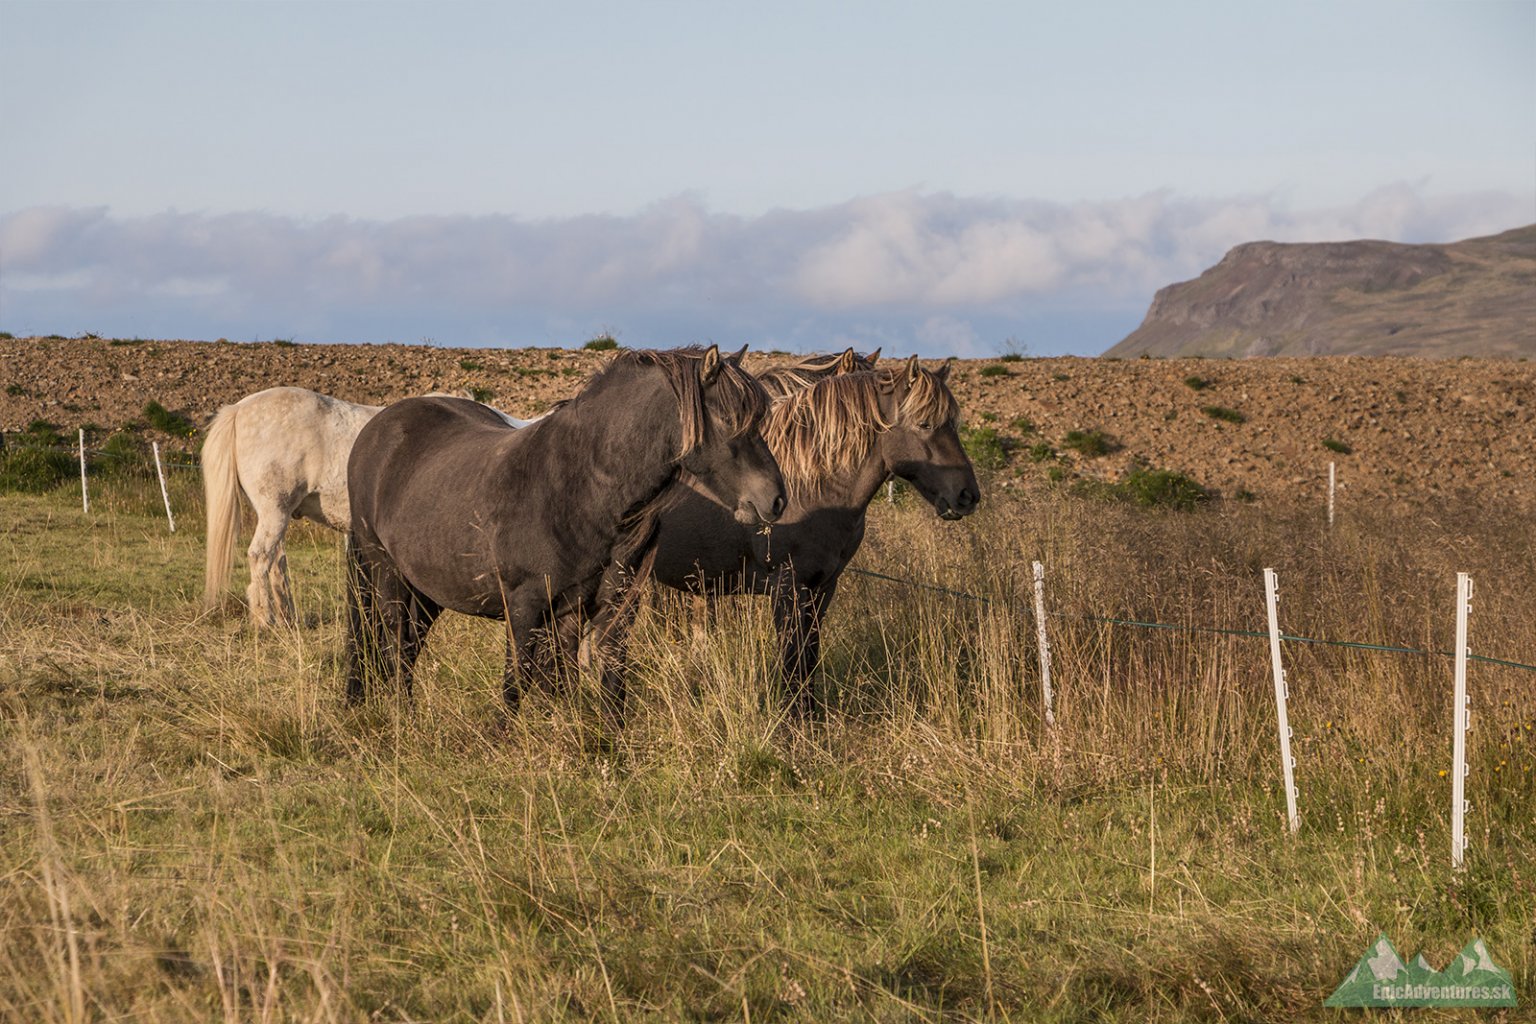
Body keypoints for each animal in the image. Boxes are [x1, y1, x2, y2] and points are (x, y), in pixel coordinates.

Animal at [199, 383, 534, 626]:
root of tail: (239, 409)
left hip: (275, 515)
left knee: (276, 562)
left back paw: (286, 619)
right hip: (274, 511)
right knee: (261, 557)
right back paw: (264, 620)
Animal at [344, 342, 786, 712]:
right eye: (728, 419)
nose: (776, 500)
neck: (578, 488)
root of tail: (376, 430)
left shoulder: (605, 609)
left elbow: (602, 683)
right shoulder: (524, 607)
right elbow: (516, 683)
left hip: (428, 588)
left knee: (409, 645)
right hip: (386, 572)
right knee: (395, 643)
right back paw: (403, 717)